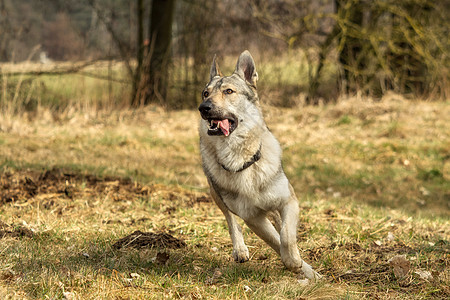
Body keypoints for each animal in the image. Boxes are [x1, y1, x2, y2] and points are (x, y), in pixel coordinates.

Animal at [199, 50, 322, 280]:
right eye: (205, 93)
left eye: (229, 91)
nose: (204, 108)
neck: (241, 158)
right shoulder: (253, 218)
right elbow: (275, 240)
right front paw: (294, 263)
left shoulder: (289, 201)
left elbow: (286, 236)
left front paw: (299, 264)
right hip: (216, 194)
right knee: (231, 220)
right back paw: (240, 249)